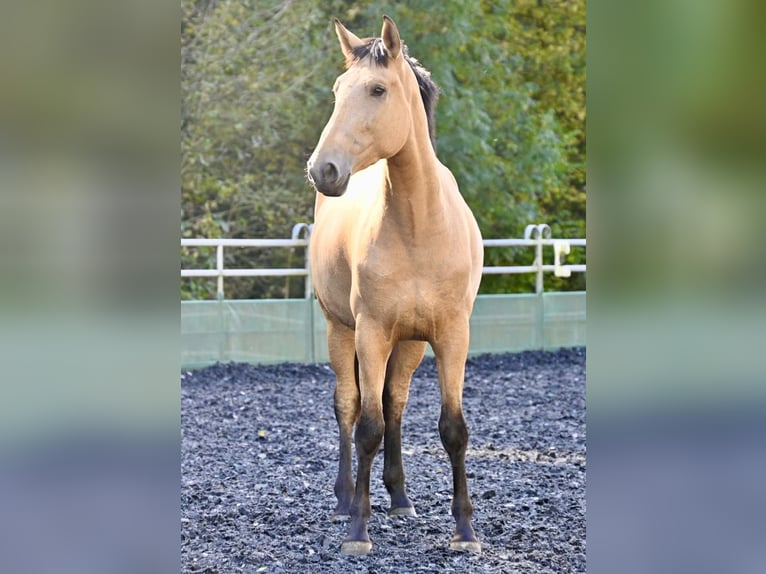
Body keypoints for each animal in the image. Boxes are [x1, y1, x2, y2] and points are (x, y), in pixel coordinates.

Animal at [306, 16, 484, 555]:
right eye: (338, 89)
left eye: (377, 89)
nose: (323, 170)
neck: (419, 226)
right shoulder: (371, 332)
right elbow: (367, 427)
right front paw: (357, 530)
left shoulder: (451, 336)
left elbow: (452, 429)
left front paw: (465, 530)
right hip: (341, 330)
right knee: (349, 405)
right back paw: (345, 500)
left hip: (409, 345)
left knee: (395, 404)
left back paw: (400, 498)